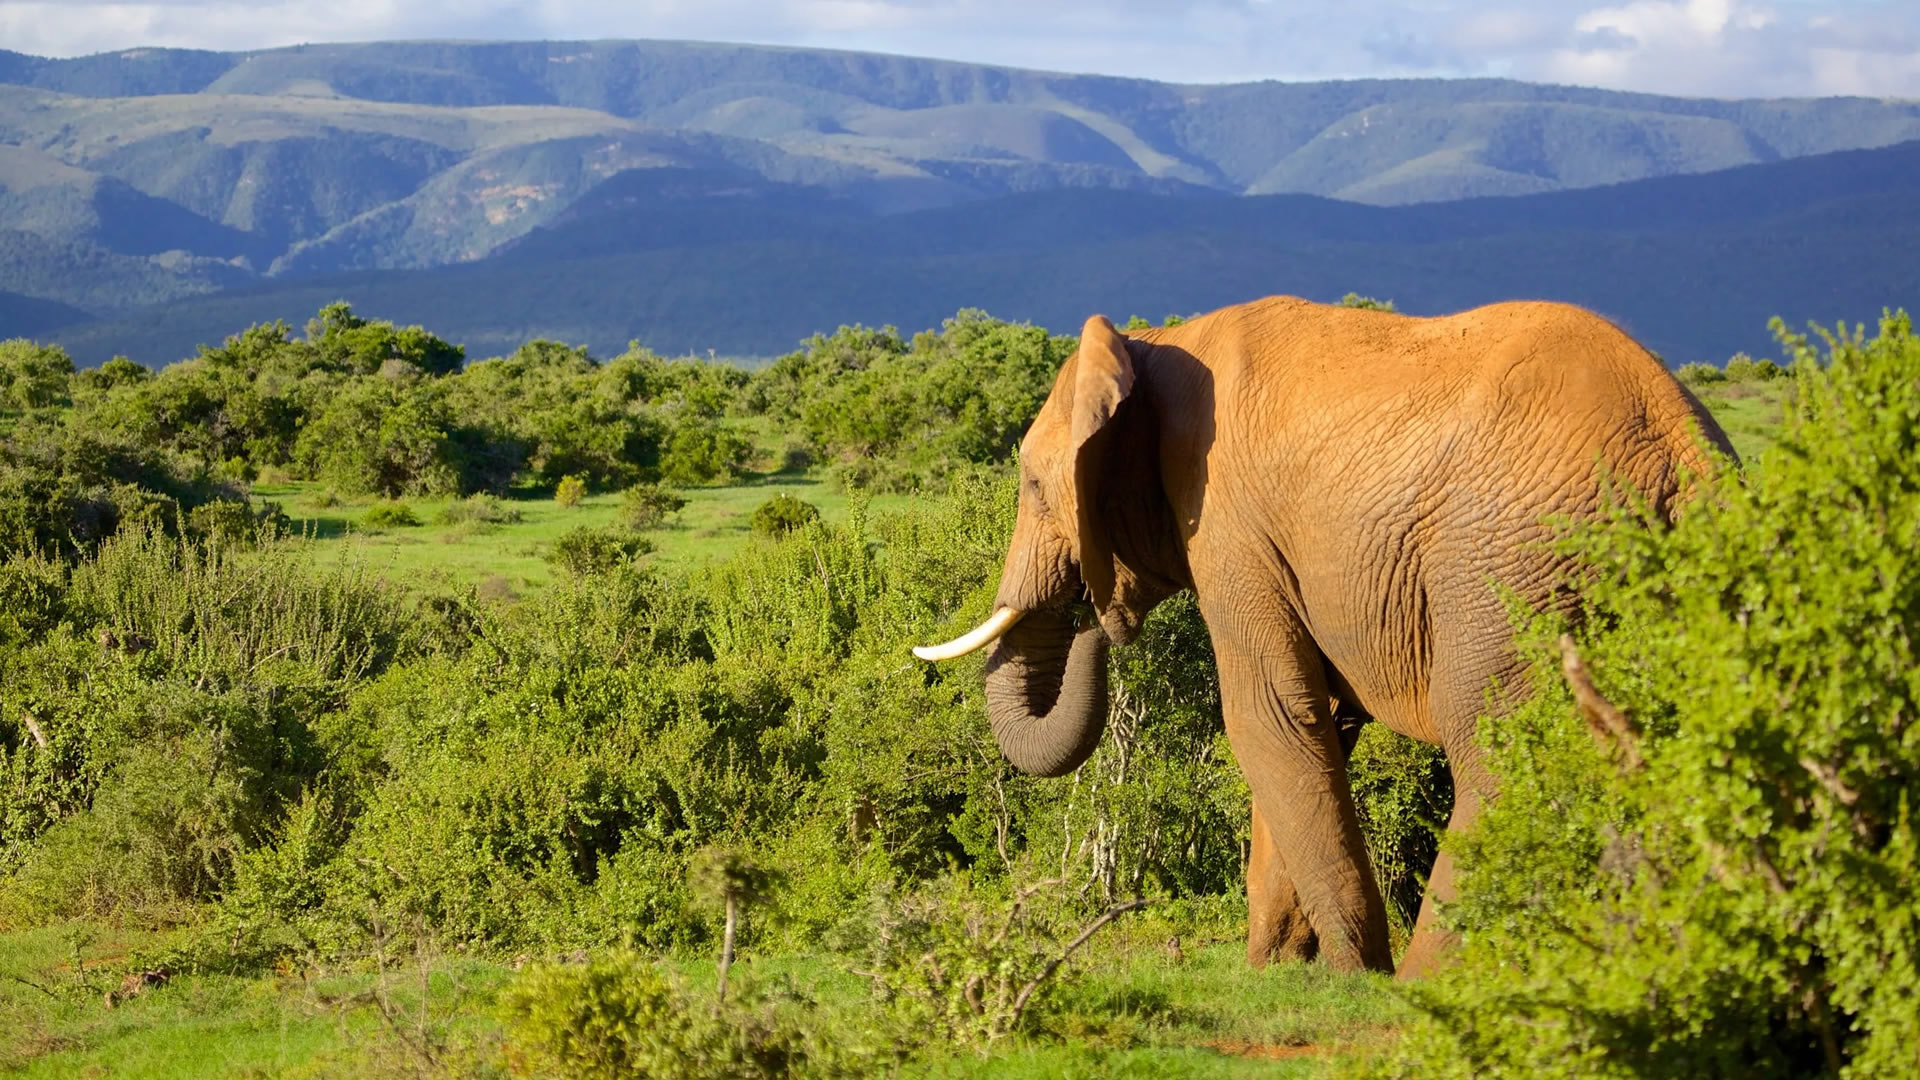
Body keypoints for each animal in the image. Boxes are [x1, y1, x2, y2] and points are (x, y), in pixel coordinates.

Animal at [913, 294, 1735, 976]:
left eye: (1031, 484)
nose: (1093, 623)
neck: (1152, 349)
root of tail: (1681, 449)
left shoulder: (1229, 525)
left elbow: (1267, 716)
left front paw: (1351, 974)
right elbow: (1317, 725)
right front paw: (1281, 968)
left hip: (1512, 560)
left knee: (1494, 746)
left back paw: (1428, 982)